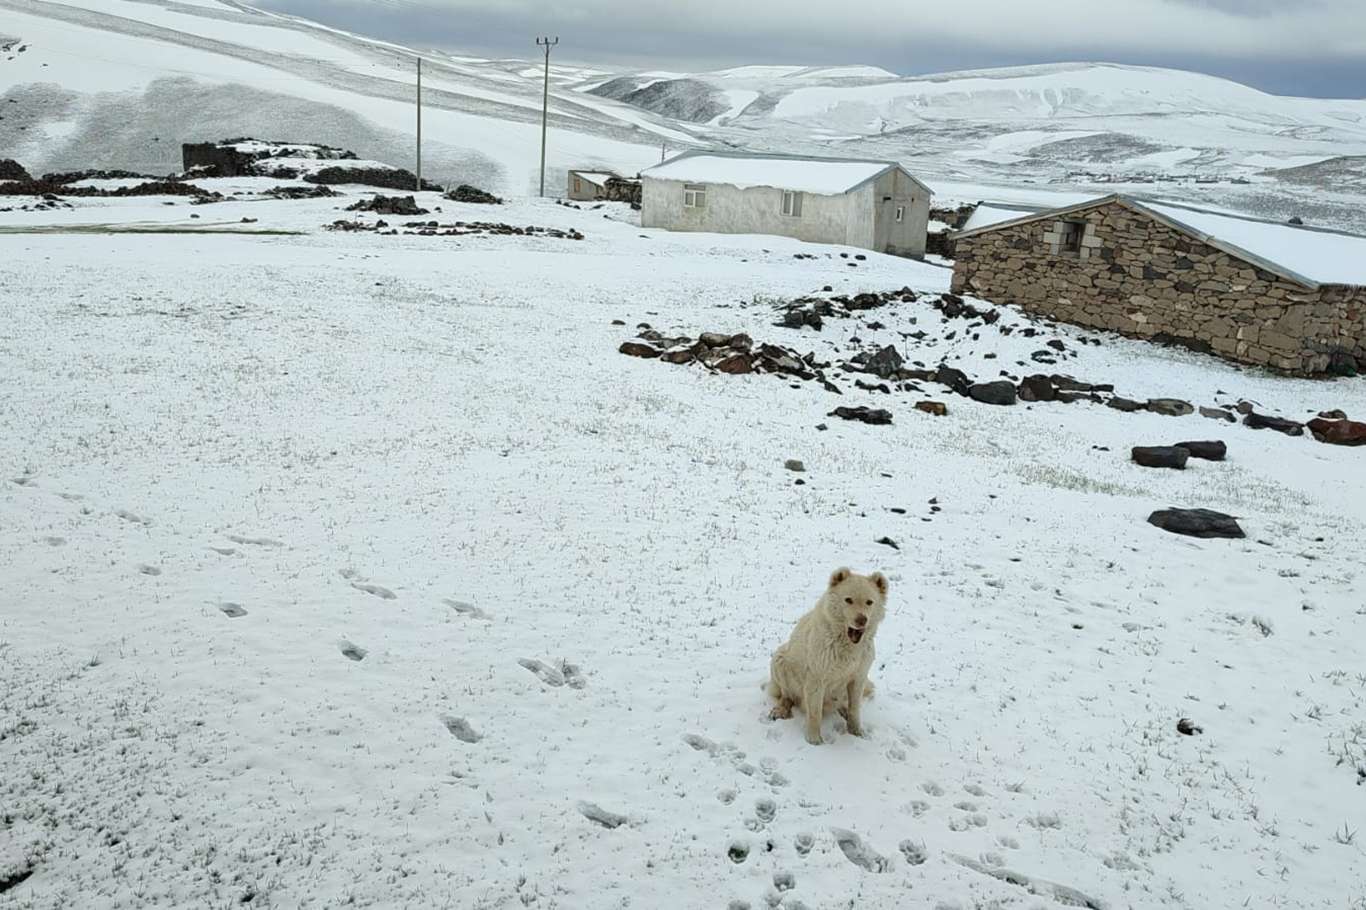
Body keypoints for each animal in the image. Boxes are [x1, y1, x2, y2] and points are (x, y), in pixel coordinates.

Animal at [770, 568, 885, 743]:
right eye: (848, 600)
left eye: (869, 602)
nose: (861, 620)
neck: (847, 646)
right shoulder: (816, 679)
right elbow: (815, 713)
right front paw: (814, 741)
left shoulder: (858, 678)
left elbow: (855, 709)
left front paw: (856, 732)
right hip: (780, 658)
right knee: (787, 696)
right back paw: (780, 710)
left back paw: (843, 710)